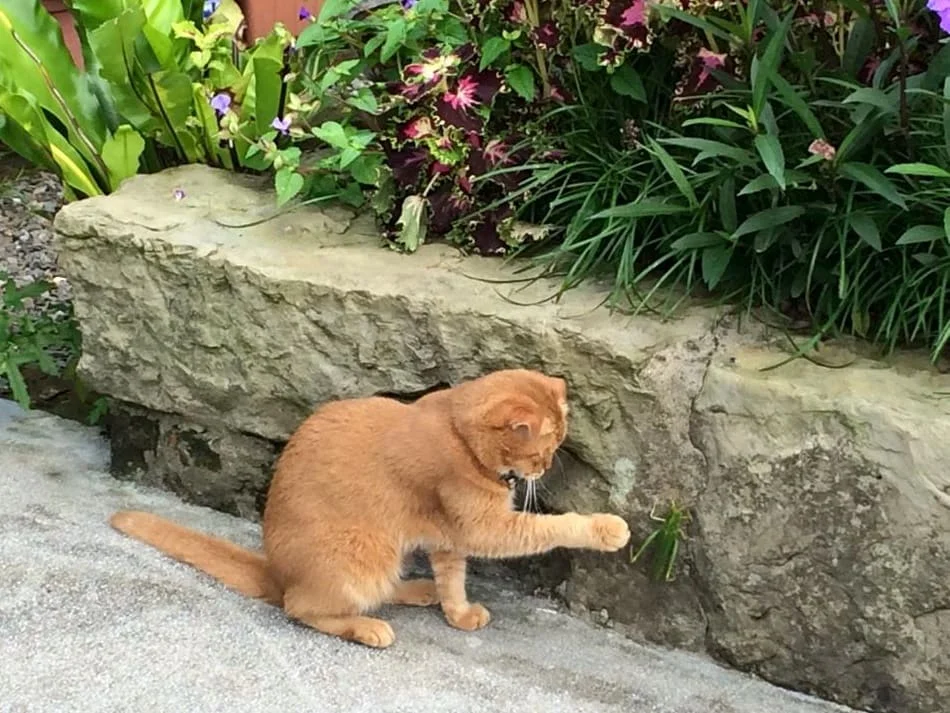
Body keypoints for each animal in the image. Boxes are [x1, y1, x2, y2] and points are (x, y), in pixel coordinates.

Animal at [111, 370, 632, 648]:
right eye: (545, 450)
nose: (543, 469)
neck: (458, 433)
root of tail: (275, 571)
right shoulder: (487, 527)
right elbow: (551, 528)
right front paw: (607, 528)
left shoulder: (449, 536)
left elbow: (454, 580)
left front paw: (458, 613)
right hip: (364, 552)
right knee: (301, 607)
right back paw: (368, 627)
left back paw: (417, 590)